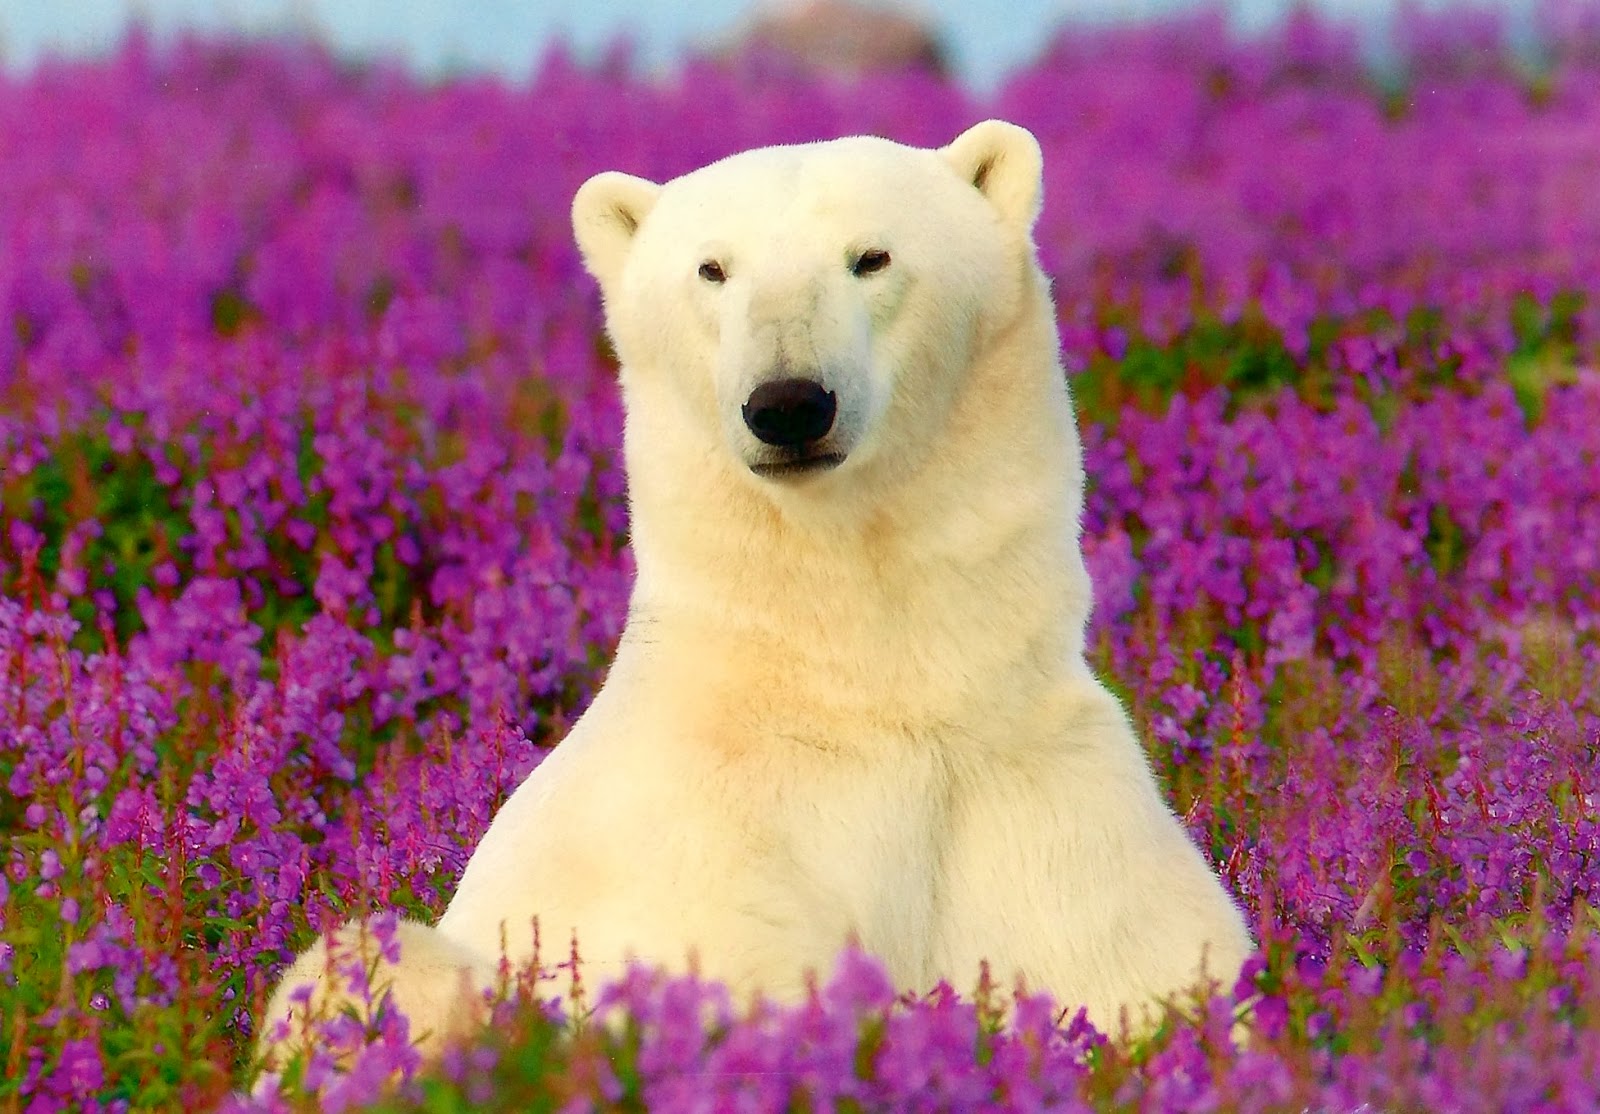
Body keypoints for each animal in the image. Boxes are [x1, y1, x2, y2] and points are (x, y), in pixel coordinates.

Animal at [259, 119, 1253, 1069]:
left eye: (871, 256)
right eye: (712, 268)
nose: (788, 403)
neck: (856, 681)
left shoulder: (1045, 813)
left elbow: (1151, 983)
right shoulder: (698, 862)